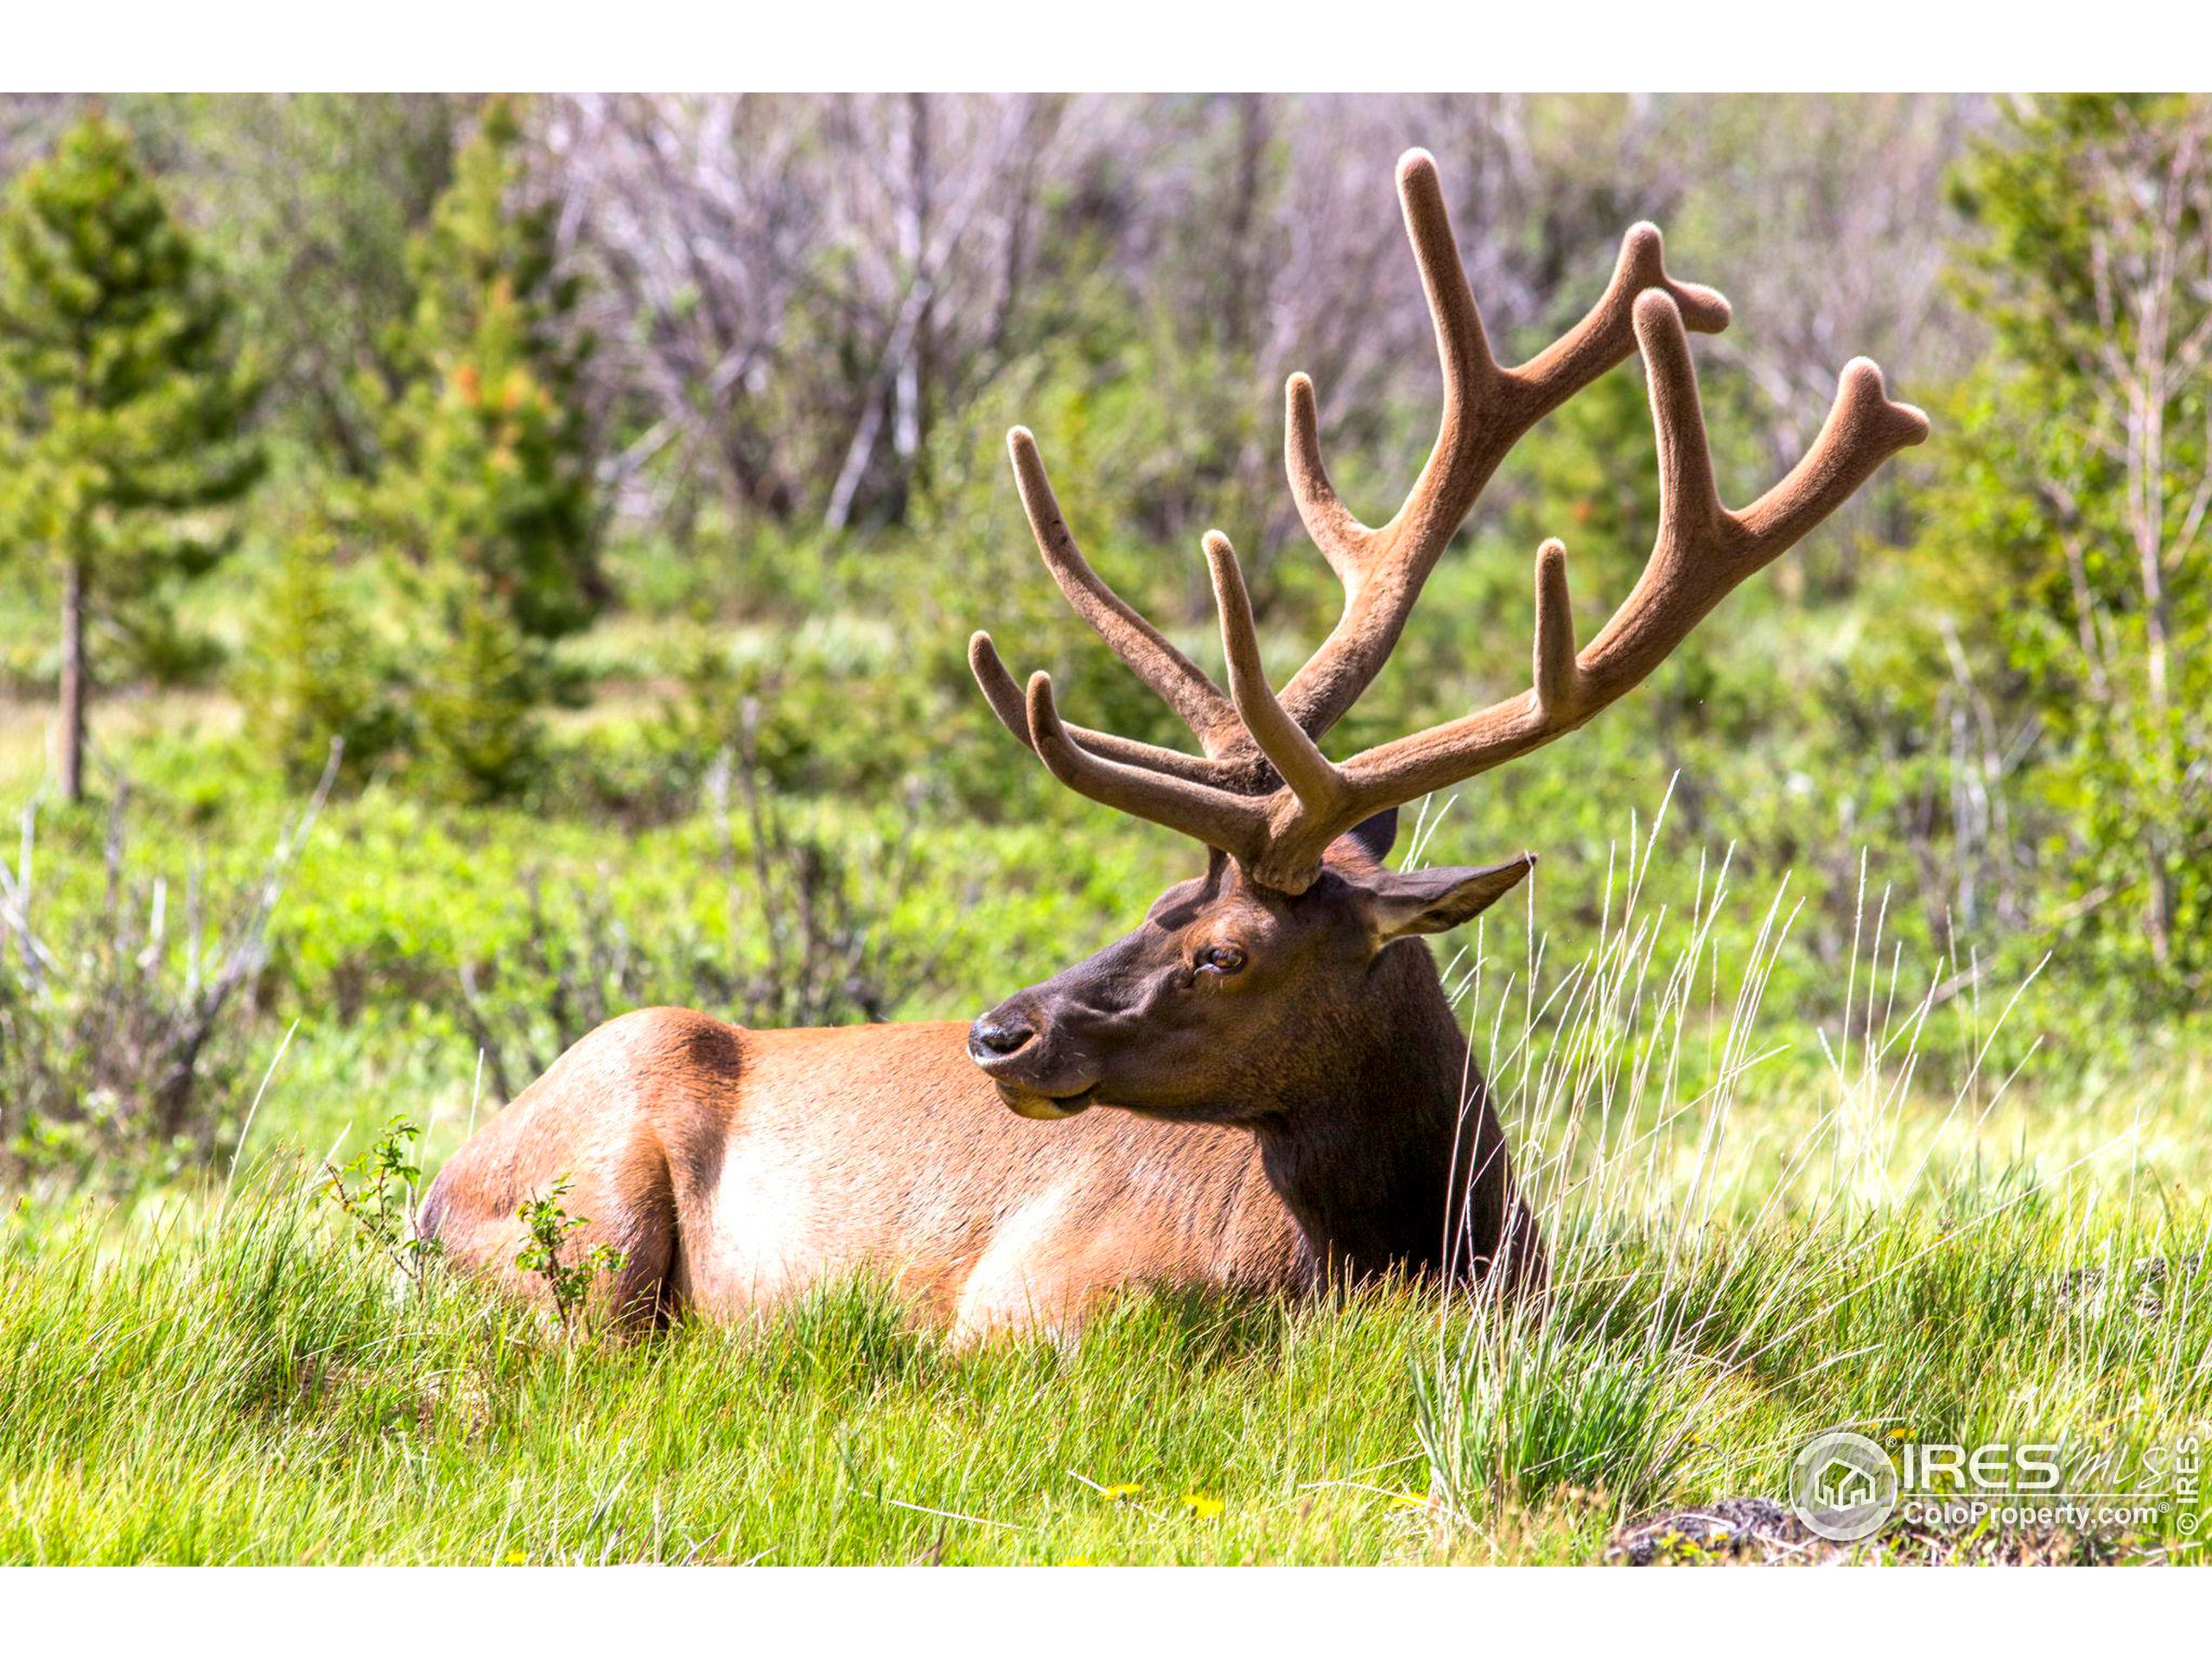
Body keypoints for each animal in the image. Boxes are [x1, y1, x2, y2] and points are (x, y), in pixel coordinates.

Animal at [422, 143, 1929, 1336]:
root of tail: (431, 1196)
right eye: (1151, 901)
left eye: (1221, 949)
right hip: (586, 1220)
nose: (999, 1034)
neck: (1412, 1250)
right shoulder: (1014, 1306)